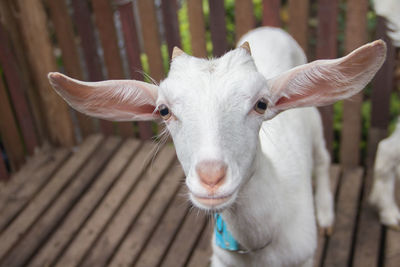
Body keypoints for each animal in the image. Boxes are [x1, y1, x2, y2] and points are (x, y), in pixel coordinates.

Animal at [48, 27, 386, 267]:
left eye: (261, 104)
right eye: (164, 110)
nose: (211, 178)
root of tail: (271, 28)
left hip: (314, 120)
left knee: (323, 158)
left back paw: (326, 213)